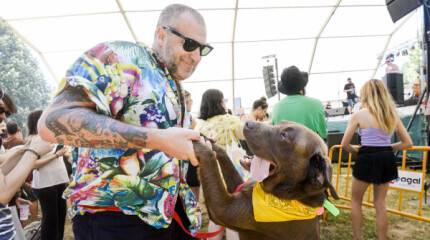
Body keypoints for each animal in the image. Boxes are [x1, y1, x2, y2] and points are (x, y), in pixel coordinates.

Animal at [193, 121, 338, 239]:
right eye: (279, 123)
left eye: (284, 136)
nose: (247, 122)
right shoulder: (237, 187)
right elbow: (222, 153)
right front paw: (204, 138)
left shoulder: (222, 208)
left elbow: (209, 156)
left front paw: (199, 144)